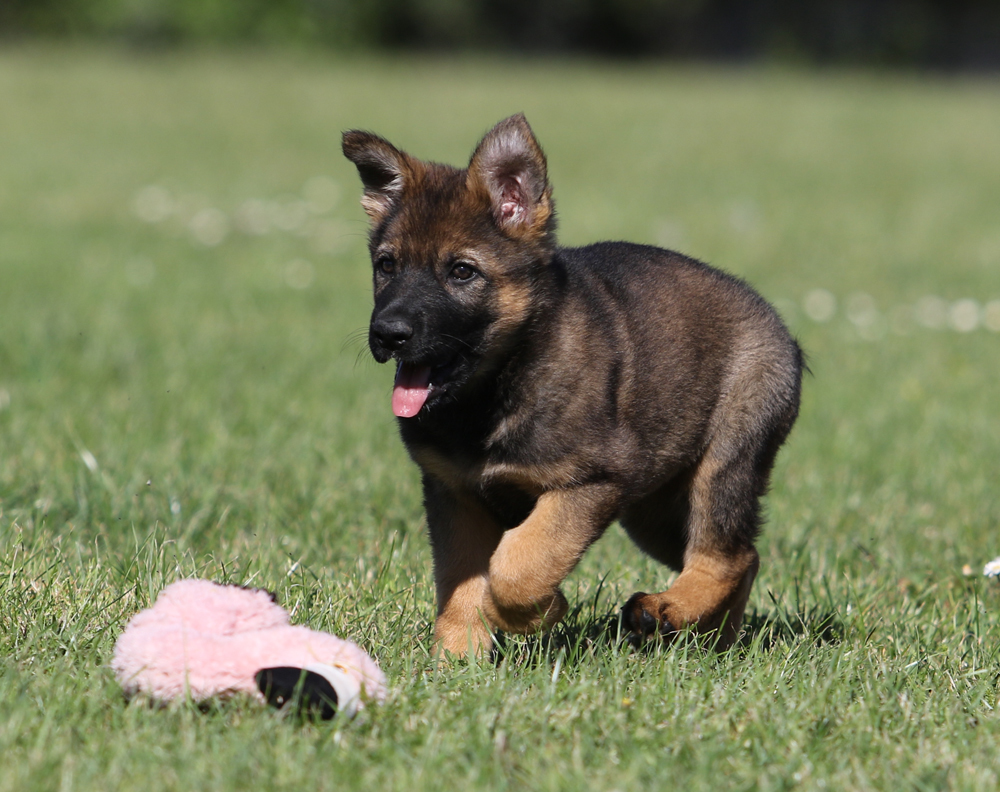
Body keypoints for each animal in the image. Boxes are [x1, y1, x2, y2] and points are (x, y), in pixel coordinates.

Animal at [342, 114, 802, 656]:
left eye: (462, 271)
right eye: (386, 265)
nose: (387, 333)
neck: (494, 390)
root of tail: (780, 328)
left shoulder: (590, 479)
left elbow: (520, 564)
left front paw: (538, 612)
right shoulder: (454, 493)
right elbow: (461, 581)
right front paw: (456, 659)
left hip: (723, 463)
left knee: (722, 557)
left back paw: (665, 610)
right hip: (654, 507)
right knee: (741, 556)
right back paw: (712, 640)